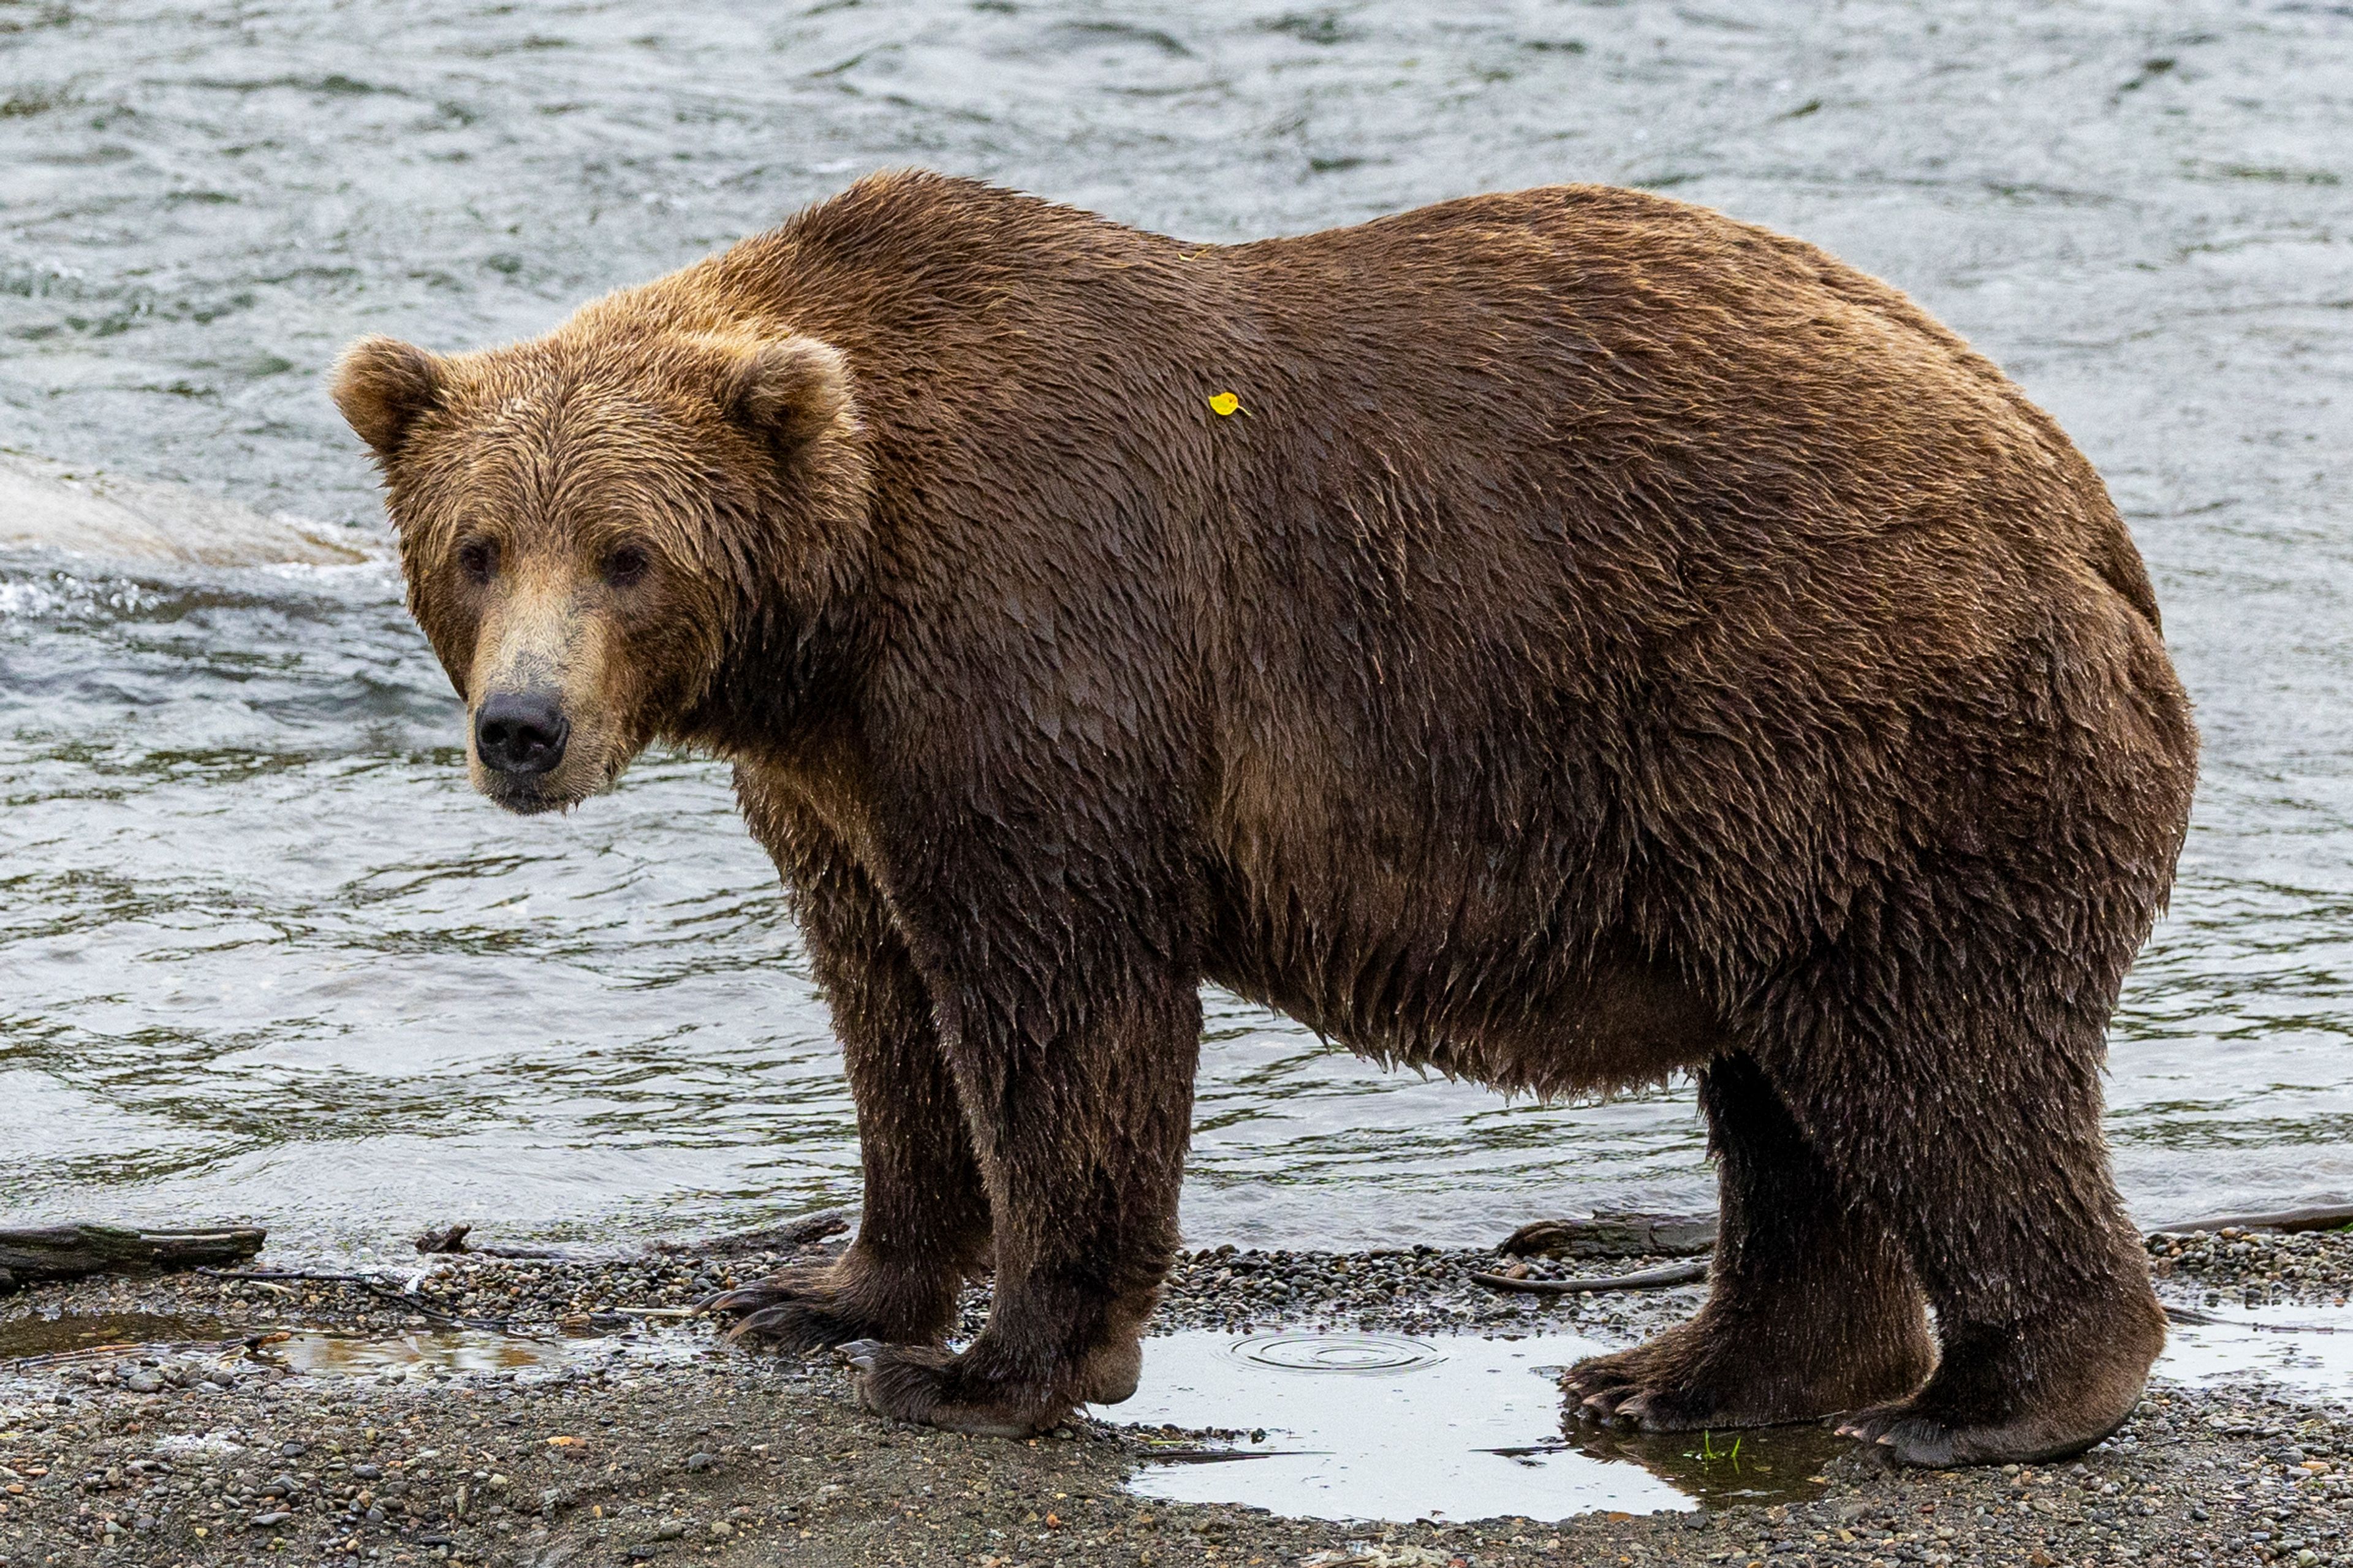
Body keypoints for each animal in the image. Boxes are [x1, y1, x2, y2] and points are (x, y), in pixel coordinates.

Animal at [336, 170, 2202, 1469]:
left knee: (1924, 1057)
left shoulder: (1042, 649)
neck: (843, 603)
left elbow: (1061, 1005)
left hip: (1847, 715)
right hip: (1765, 809)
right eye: (478, 545)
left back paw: (1987, 1400)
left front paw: (992, 1364)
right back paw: (1683, 1373)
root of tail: (2088, 513)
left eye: (626, 551)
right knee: (1793, 1085)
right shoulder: (836, 775)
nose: (524, 728)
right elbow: (881, 1005)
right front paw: (819, 1287)